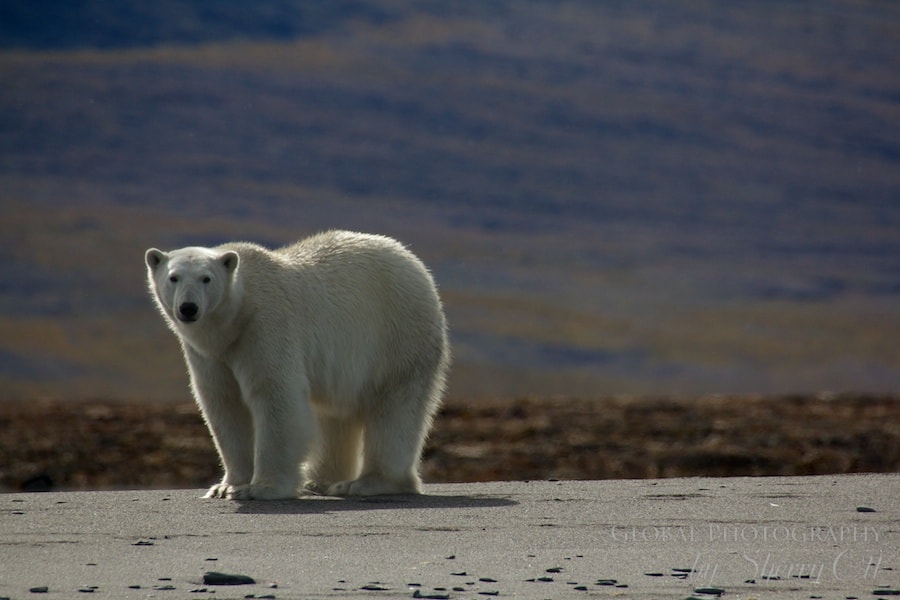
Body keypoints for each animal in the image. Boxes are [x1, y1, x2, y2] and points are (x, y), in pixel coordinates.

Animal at [144, 232, 450, 500]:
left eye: (206, 279)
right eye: (173, 277)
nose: (188, 308)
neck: (236, 317)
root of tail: (413, 262)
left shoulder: (265, 326)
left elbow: (275, 396)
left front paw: (260, 489)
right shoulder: (211, 354)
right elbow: (224, 403)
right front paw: (226, 487)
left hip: (397, 334)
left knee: (394, 408)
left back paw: (367, 483)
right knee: (335, 414)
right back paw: (321, 481)